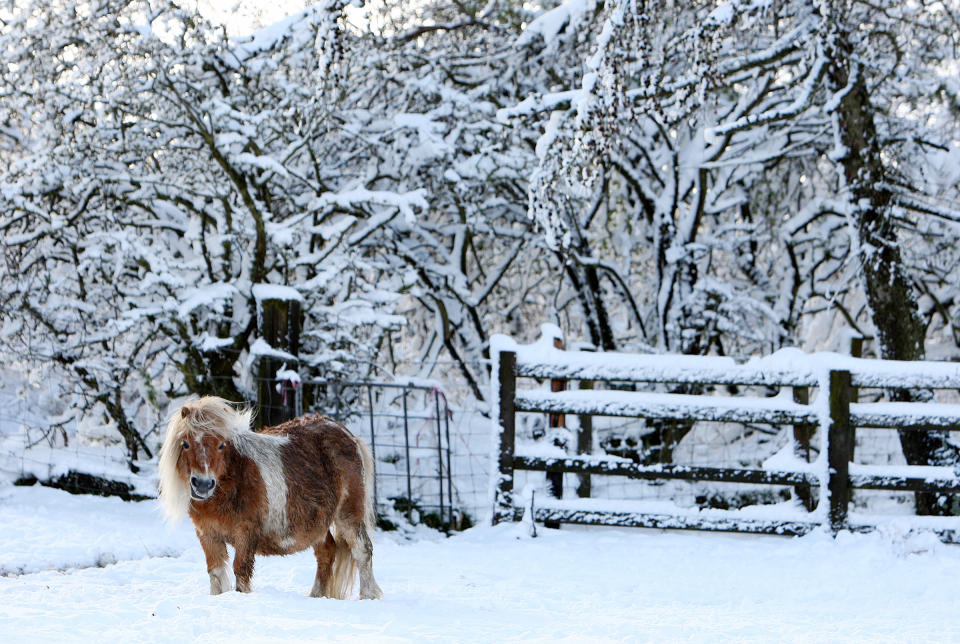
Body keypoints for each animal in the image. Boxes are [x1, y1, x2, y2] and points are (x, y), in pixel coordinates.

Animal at [158, 394, 382, 600]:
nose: (203, 484)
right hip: (317, 523)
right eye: (185, 444)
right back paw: (316, 596)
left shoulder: (246, 534)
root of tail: (346, 434)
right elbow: (216, 574)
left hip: (348, 513)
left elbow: (241, 570)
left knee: (362, 550)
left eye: (221, 445)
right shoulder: (208, 535)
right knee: (326, 552)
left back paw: (368, 596)